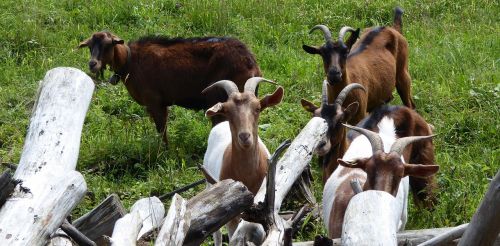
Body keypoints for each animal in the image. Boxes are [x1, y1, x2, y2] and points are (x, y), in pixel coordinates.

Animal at [78, 31, 262, 142]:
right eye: (89, 47)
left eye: (108, 45)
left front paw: (164, 154)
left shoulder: (155, 102)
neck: (130, 62)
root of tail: (251, 62)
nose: (92, 64)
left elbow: (162, 131)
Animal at [200, 78, 284, 243]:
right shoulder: (232, 216)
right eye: (227, 110)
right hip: (209, 184)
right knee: (216, 232)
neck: (247, 175)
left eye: (258, 108)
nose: (245, 136)